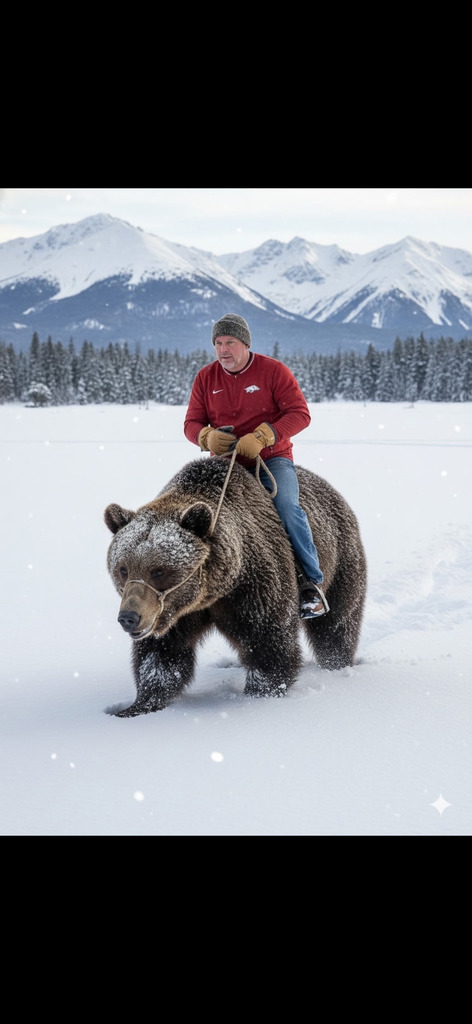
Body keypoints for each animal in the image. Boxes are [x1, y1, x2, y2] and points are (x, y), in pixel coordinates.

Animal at [104, 456, 367, 717]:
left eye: (158, 571)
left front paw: (260, 692)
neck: (214, 591)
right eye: (123, 569)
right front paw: (136, 706)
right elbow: (162, 654)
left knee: (337, 622)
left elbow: (267, 638)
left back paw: (336, 661)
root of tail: (331, 489)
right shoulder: (174, 614)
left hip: (338, 559)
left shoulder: (254, 585)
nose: (129, 617)